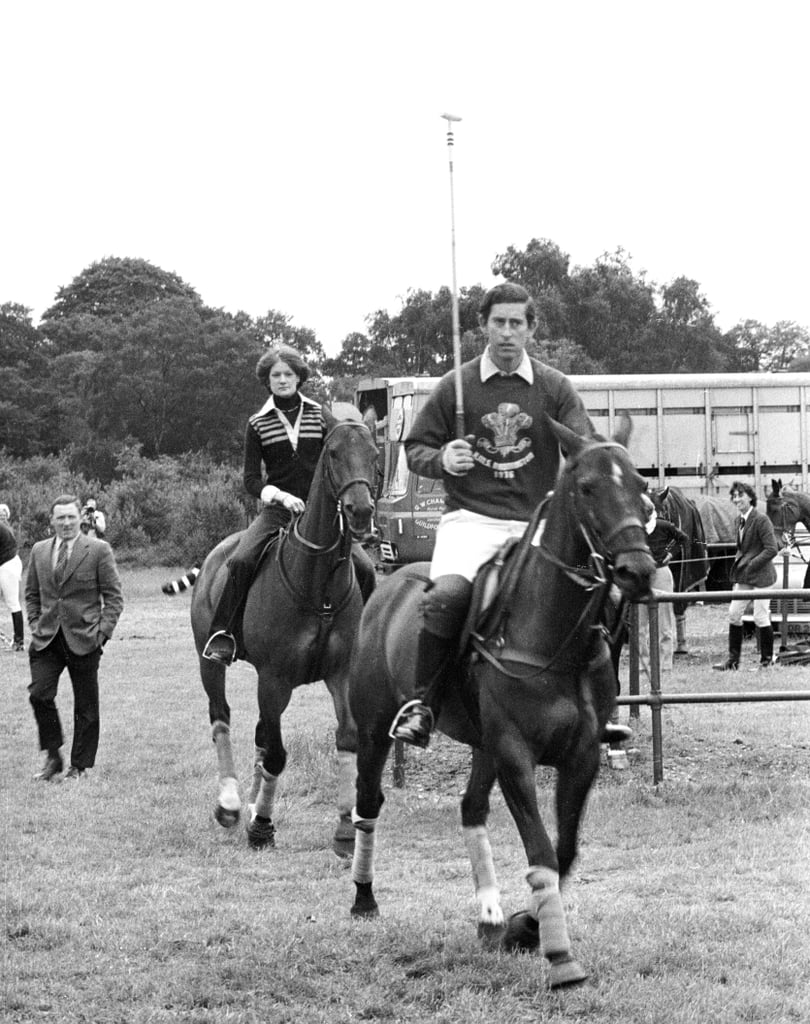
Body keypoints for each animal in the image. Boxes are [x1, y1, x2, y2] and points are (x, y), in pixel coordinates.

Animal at [190, 419, 380, 851]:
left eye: (374, 453)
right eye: (333, 453)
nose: (361, 510)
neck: (319, 582)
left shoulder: (340, 674)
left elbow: (347, 738)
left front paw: (345, 828)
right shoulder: (273, 678)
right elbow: (276, 753)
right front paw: (261, 825)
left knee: (261, 733)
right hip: (211, 664)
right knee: (221, 718)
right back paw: (230, 804)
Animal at [346, 417, 655, 991]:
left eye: (641, 486)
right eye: (587, 488)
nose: (638, 571)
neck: (554, 639)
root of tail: (388, 583)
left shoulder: (578, 756)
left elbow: (564, 851)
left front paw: (523, 927)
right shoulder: (515, 753)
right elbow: (541, 851)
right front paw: (559, 957)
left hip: (482, 743)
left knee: (471, 807)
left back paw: (489, 916)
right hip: (377, 730)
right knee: (369, 803)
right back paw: (364, 898)